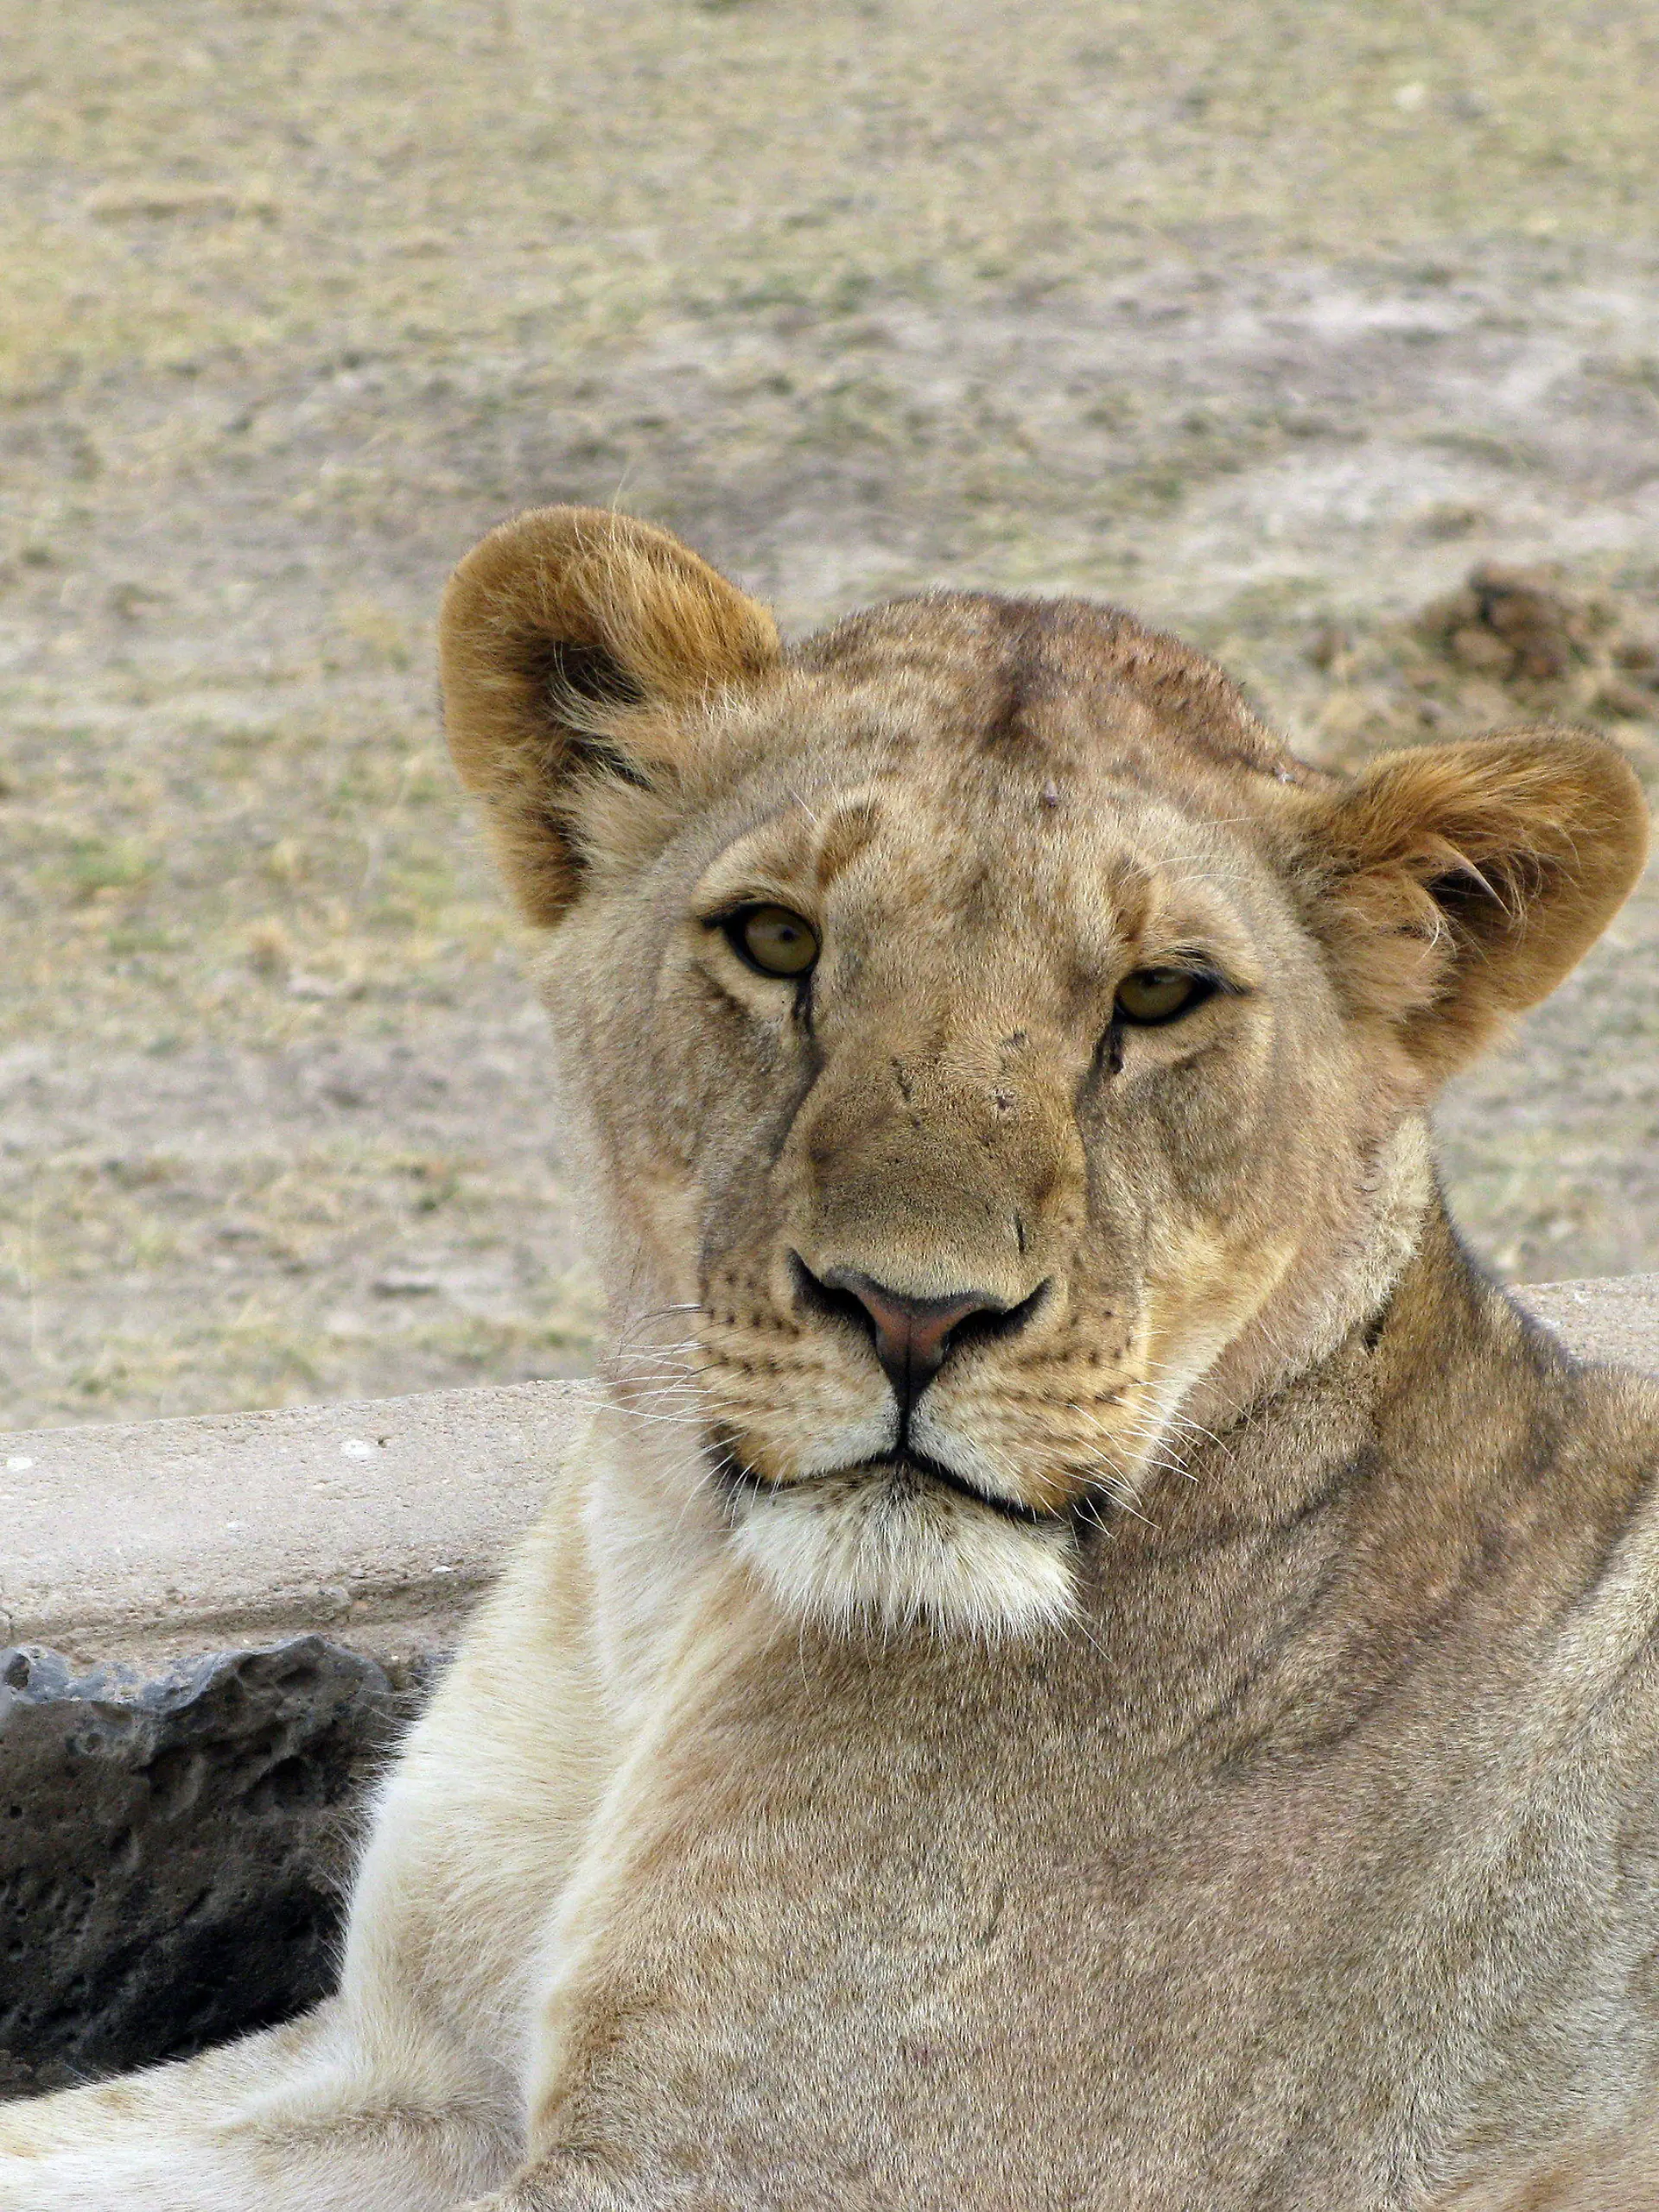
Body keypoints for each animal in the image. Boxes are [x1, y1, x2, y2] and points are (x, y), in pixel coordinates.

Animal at [3, 505, 1658, 2211]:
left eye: (1160, 993)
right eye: (777, 938)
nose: (915, 1312)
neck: (664, 1610)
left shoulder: (755, 2167)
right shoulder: (401, 2069)